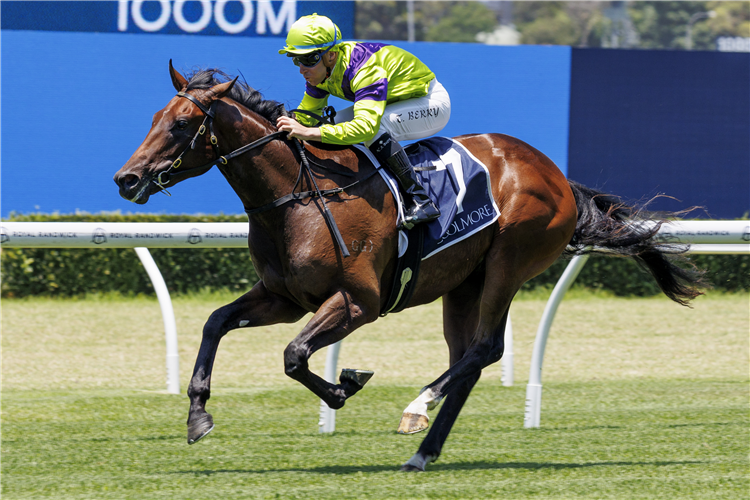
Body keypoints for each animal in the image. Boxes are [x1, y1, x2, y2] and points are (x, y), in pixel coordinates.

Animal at [113, 63, 704, 472]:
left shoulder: (359, 302)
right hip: (462, 285)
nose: (127, 178)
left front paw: (345, 386)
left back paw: (417, 406)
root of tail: (556, 175)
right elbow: (217, 323)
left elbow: (295, 354)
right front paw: (197, 415)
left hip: (509, 263)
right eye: (154, 119)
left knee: (485, 349)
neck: (299, 197)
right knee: (468, 360)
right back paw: (424, 450)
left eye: (183, 123)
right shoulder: (285, 298)